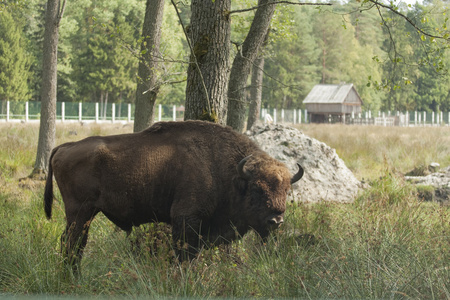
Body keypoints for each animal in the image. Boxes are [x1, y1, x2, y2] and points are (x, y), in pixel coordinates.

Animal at [44, 120, 304, 270]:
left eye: (286, 190)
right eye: (257, 189)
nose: (276, 220)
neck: (226, 170)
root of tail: (64, 147)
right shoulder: (186, 219)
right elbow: (183, 253)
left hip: (85, 213)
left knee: (75, 242)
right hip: (79, 211)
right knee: (71, 242)